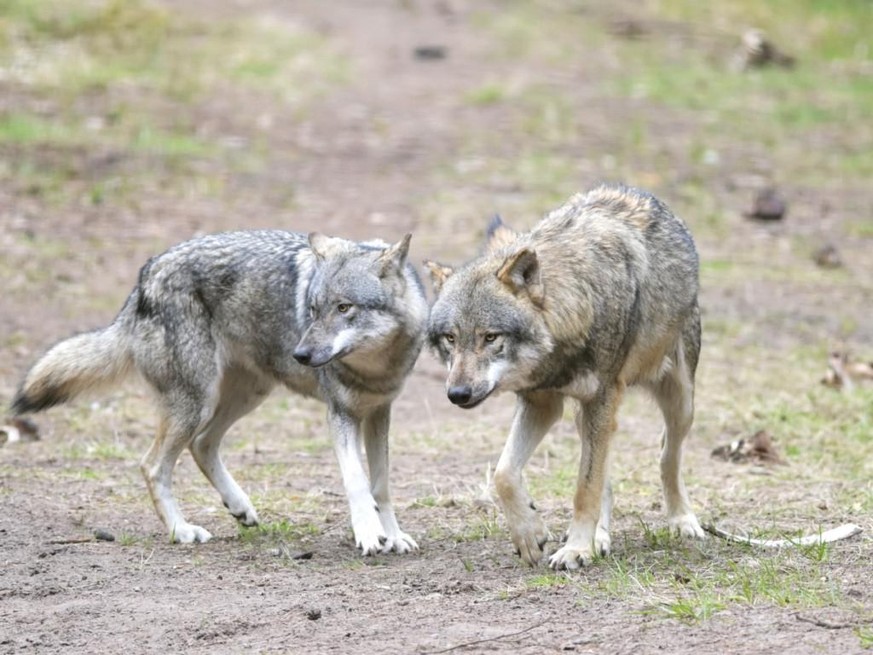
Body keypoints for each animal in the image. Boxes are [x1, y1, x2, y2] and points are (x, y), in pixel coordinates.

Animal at [10, 231, 426, 552]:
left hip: (245, 396)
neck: (376, 367)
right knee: (152, 464)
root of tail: (146, 276)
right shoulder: (340, 415)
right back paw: (181, 531)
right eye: (312, 309)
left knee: (202, 444)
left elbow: (381, 486)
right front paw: (369, 535)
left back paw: (238, 506)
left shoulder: (379, 413)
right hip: (197, 403)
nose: (301, 354)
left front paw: (393, 536)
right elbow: (357, 483)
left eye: (343, 308)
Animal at [426, 183, 704, 568]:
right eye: (450, 339)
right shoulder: (542, 403)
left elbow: (585, 487)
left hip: (679, 401)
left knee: (667, 455)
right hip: (585, 415)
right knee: (607, 476)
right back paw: (600, 537)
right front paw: (531, 534)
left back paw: (682, 520)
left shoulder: (601, 398)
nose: (458, 394)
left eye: (490, 337)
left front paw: (575, 549)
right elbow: (504, 474)